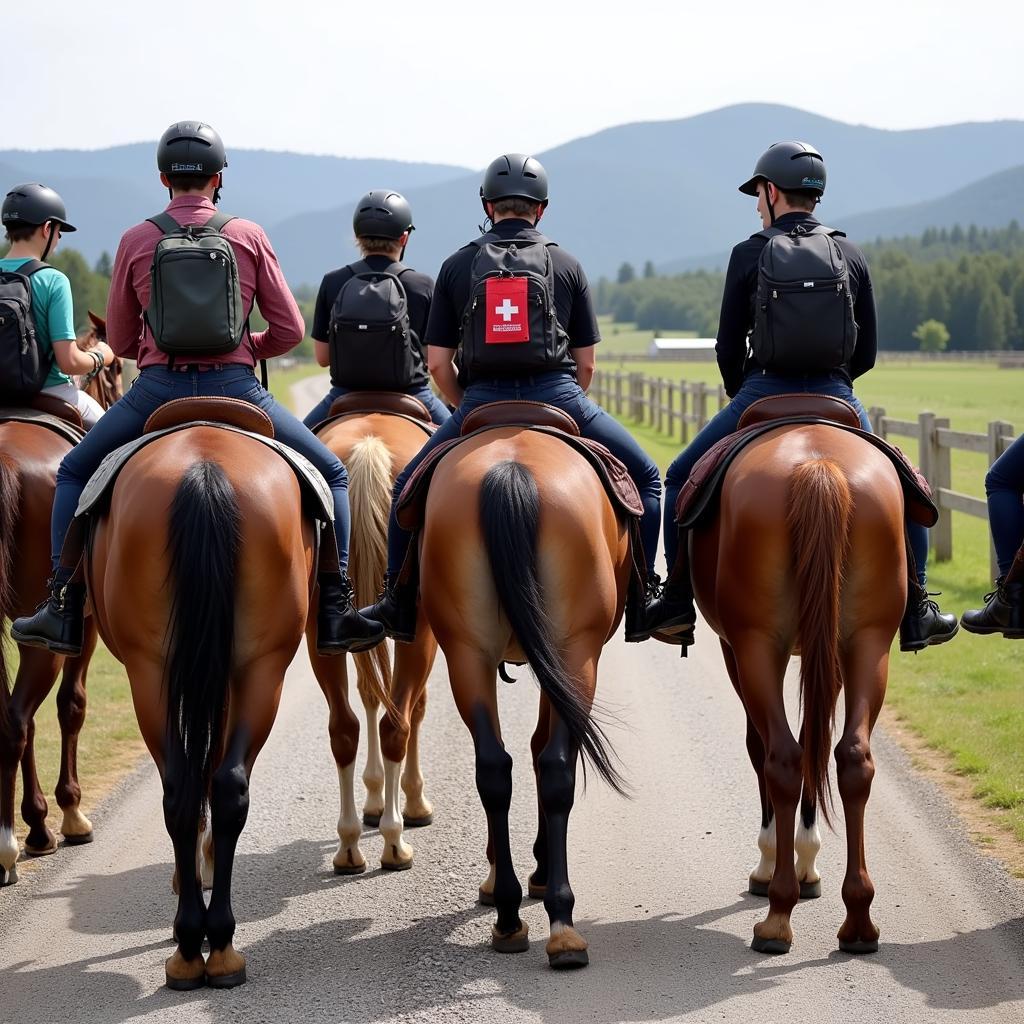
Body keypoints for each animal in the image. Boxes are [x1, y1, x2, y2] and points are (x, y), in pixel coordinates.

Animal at [86, 417, 313, 991]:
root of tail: (204, 471)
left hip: (152, 671)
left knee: (187, 787)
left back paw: (195, 946)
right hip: (259, 666)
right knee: (217, 785)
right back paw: (215, 945)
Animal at [309, 411, 442, 876]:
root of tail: (370, 446)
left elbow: (369, 693)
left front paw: (372, 797)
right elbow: (415, 707)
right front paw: (412, 800)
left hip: (320, 631)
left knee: (344, 726)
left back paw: (349, 846)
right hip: (420, 631)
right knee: (397, 721)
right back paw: (395, 841)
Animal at [417, 428, 626, 970]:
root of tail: (510, 474)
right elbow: (541, 748)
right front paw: (539, 871)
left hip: (467, 653)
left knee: (495, 768)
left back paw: (512, 915)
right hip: (576, 652)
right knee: (553, 764)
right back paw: (558, 921)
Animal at [692, 421, 909, 950]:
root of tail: (818, 467)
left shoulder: (733, 649)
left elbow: (764, 746)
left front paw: (778, 860)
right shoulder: (826, 650)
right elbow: (818, 739)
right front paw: (806, 860)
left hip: (757, 648)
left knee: (783, 757)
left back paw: (777, 912)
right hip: (868, 641)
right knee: (851, 757)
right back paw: (858, 919)